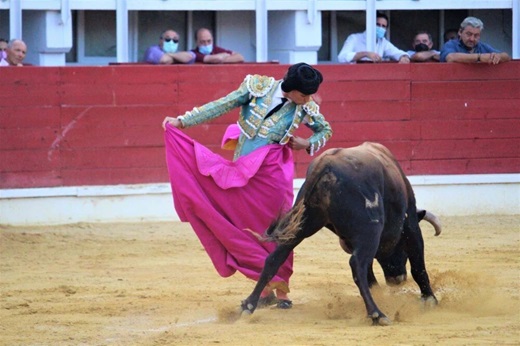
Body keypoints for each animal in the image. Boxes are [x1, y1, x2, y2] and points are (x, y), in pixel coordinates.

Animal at [242, 142, 440, 326]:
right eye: (401, 249)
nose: (397, 280)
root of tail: (325, 164)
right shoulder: (410, 224)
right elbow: (418, 265)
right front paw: (430, 299)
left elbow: (370, 273)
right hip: (370, 230)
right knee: (357, 264)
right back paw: (377, 313)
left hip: (303, 224)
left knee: (274, 259)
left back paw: (248, 306)